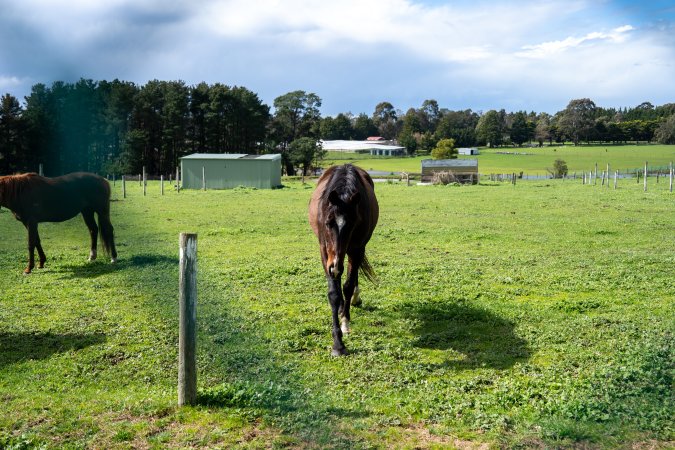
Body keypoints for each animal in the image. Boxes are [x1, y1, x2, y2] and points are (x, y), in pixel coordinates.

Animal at [308, 164, 379, 356]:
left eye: (353, 224)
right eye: (327, 222)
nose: (334, 266)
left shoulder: (356, 249)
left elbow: (347, 286)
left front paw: (345, 323)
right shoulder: (325, 253)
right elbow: (334, 294)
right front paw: (337, 344)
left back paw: (353, 299)